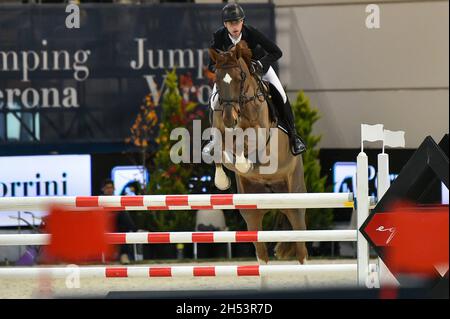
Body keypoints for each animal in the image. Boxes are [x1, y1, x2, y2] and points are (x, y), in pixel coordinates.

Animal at [208, 40, 308, 264]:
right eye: (217, 78)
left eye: (240, 78)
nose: (229, 118)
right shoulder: (220, 129)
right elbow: (220, 149)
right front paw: (222, 179)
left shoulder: (262, 135)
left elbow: (245, 148)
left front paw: (244, 164)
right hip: (252, 211)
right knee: (261, 252)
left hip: (295, 200)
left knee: (301, 249)